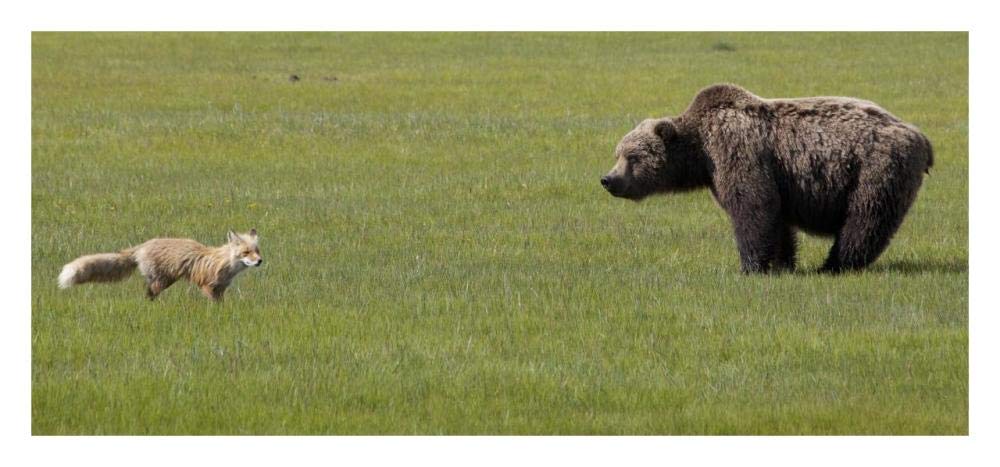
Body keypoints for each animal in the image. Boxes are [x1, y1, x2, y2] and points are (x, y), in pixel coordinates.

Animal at [58, 229, 263, 301]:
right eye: (246, 253)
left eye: (257, 251)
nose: (260, 261)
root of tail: (142, 245)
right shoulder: (207, 286)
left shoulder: (221, 289)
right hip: (162, 281)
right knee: (149, 294)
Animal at [601, 84, 933, 273]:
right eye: (617, 153)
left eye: (632, 156)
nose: (608, 179)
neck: (701, 152)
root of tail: (920, 136)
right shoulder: (778, 177)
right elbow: (779, 220)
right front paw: (783, 263)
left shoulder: (738, 151)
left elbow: (753, 206)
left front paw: (750, 267)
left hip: (875, 168)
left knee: (865, 218)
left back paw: (835, 265)